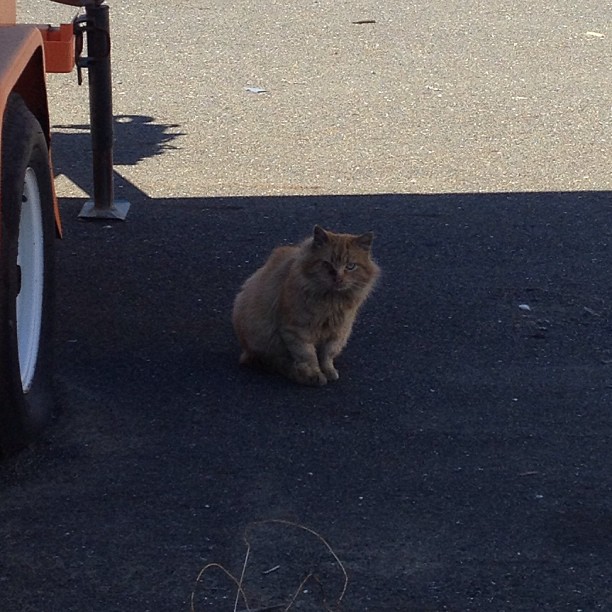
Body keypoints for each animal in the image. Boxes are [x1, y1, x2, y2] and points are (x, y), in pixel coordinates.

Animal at [232, 225, 380, 386]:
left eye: (350, 266)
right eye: (327, 264)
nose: (338, 279)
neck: (331, 302)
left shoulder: (338, 332)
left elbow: (327, 356)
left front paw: (328, 371)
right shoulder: (296, 331)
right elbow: (309, 356)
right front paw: (315, 375)